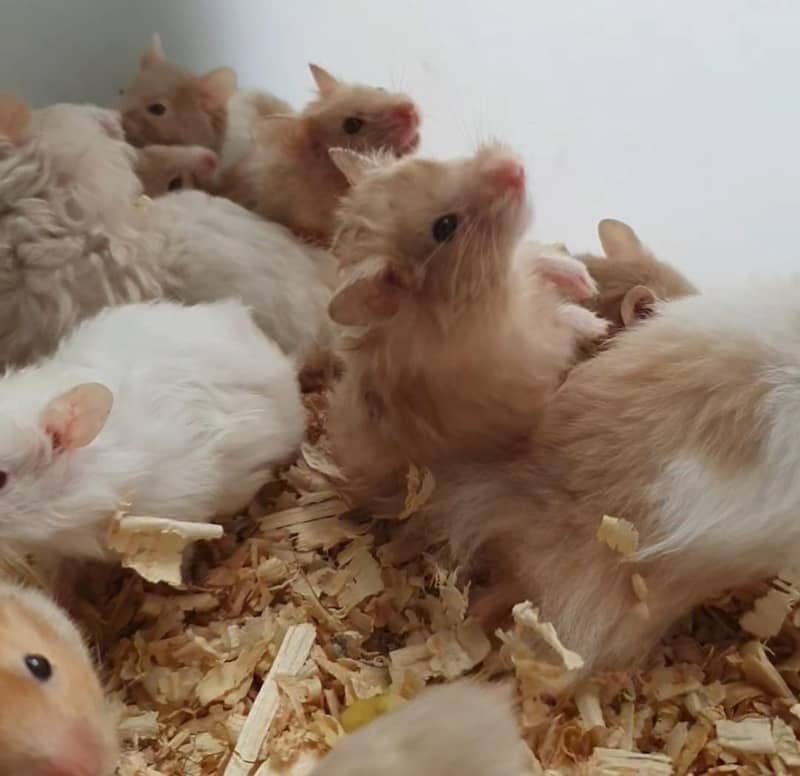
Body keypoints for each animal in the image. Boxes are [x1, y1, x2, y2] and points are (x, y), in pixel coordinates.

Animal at [325, 145, 607, 507]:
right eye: (445, 227)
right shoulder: (532, 340)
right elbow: (561, 319)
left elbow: (540, 260)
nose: (515, 168)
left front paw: (584, 281)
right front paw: (598, 323)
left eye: (433, 160)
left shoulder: (521, 271)